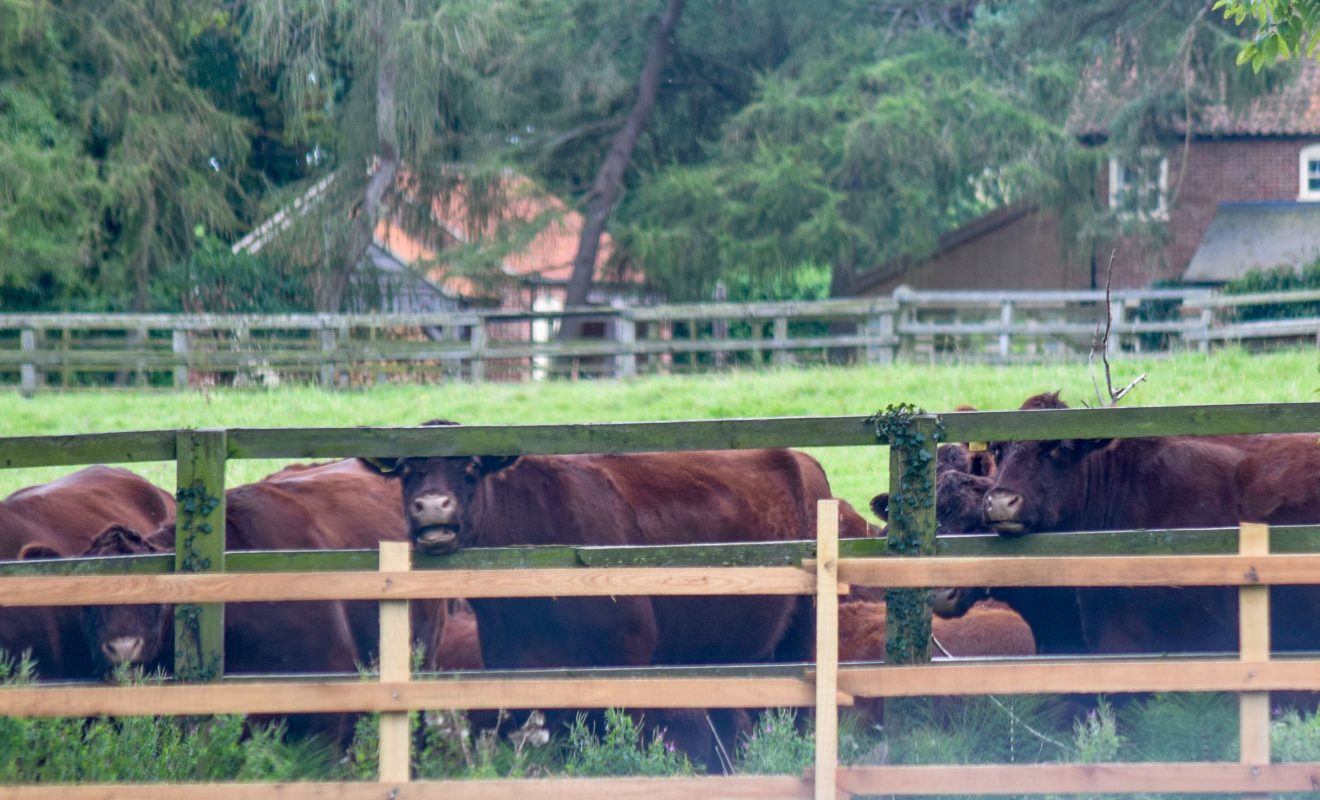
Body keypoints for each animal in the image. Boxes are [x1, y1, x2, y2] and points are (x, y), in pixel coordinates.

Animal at [361, 435, 850, 776]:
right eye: (405, 470)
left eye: (470, 466)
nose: (432, 507)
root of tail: (803, 461)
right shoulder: (517, 666)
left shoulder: (626, 660)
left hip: (799, 643)